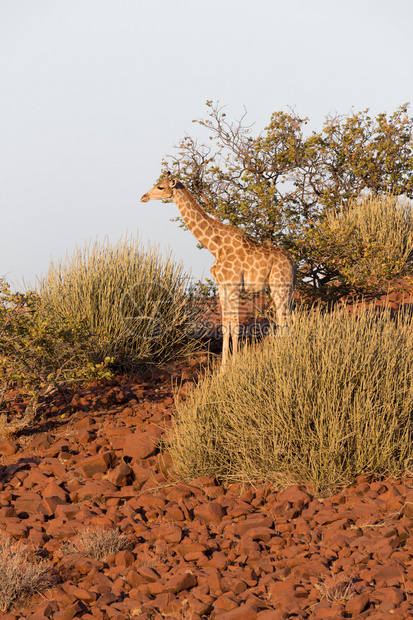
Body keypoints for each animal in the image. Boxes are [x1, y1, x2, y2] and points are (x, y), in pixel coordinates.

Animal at [140, 172, 294, 368]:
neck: (215, 246)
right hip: (285, 289)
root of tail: (292, 261)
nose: (143, 197)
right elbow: (225, 325)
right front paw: (223, 367)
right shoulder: (222, 287)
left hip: (279, 287)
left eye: (160, 187)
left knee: (284, 320)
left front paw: (235, 365)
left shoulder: (234, 286)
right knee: (287, 319)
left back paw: (282, 357)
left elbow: (235, 325)